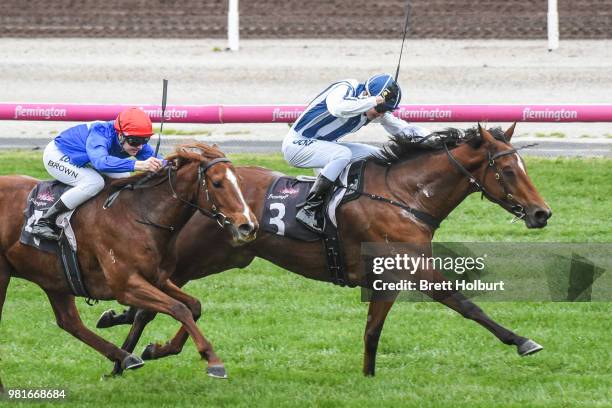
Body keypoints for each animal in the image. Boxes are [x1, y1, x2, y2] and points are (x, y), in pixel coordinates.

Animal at [0, 143, 256, 380]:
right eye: (217, 183)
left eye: (239, 181)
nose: (248, 226)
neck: (141, 215)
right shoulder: (126, 285)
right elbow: (179, 309)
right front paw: (213, 360)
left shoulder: (157, 278)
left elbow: (194, 306)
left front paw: (159, 349)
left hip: (52, 277)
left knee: (69, 322)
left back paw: (125, 357)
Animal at [99, 124, 548, 376]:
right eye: (509, 170)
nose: (542, 213)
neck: (403, 196)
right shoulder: (417, 268)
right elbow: (465, 303)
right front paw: (523, 341)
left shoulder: (386, 278)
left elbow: (372, 333)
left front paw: (368, 379)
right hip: (199, 255)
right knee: (156, 301)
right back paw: (129, 355)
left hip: (229, 255)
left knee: (161, 301)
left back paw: (127, 346)